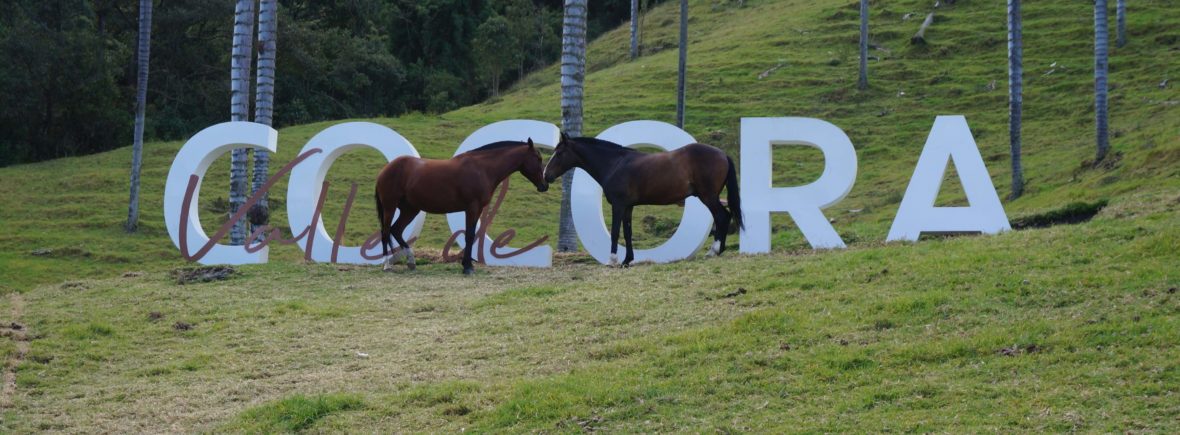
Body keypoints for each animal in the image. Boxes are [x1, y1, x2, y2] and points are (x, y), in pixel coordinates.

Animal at [372, 139, 547, 274]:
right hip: (390, 207)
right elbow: (469, 235)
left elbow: (472, 235)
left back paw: (411, 262)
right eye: (538, 158)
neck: (482, 168)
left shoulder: (478, 209)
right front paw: (467, 267)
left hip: (410, 209)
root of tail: (385, 170)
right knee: (385, 232)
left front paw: (467, 264)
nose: (544, 185)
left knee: (396, 230)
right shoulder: (472, 208)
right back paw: (387, 265)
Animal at [540, 132, 741, 266]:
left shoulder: (618, 205)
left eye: (559, 153)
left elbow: (615, 232)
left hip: (708, 197)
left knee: (722, 217)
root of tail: (722, 154)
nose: (545, 175)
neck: (615, 164)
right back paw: (718, 250)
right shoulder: (628, 207)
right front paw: (627, 260)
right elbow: (627, 232)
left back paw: (714, 251)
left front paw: (613, 260)